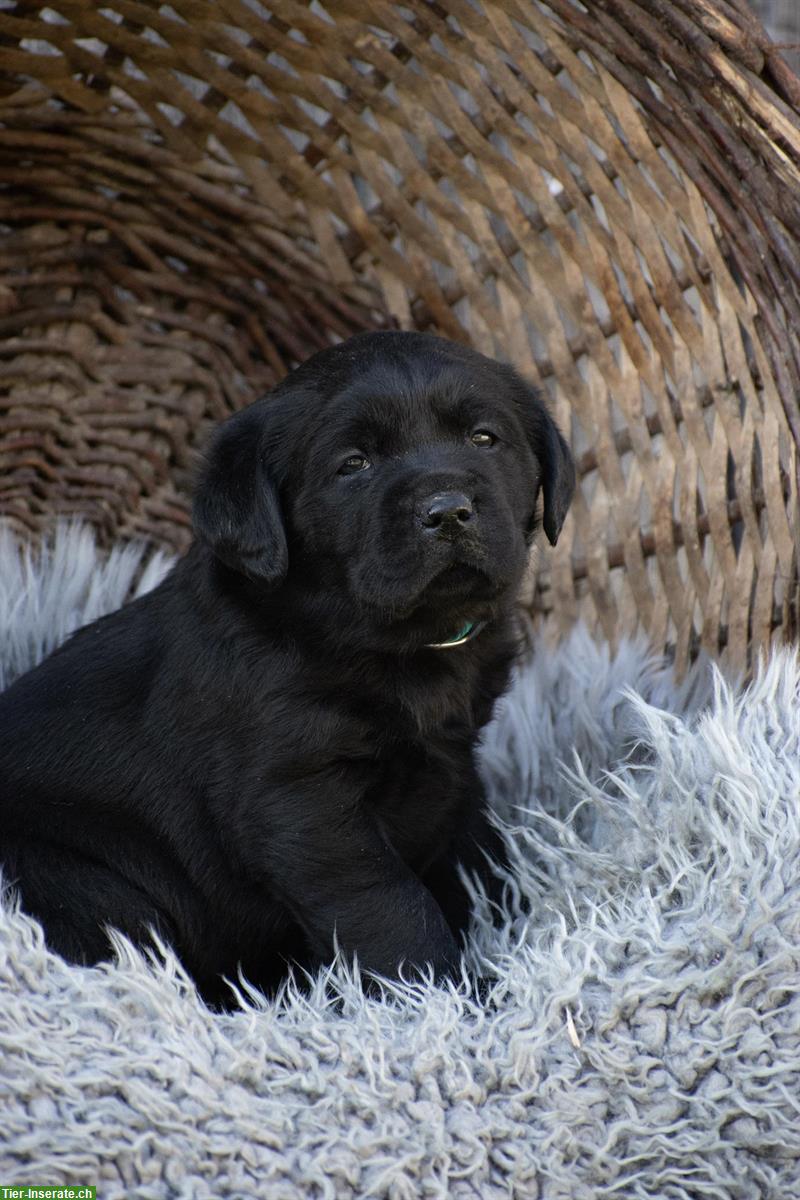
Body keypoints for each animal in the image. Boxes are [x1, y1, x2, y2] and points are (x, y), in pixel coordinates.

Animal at [0, 328, 575, 1003]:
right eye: (354, 464)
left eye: (484, 438)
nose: (448, 511)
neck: (388, 642)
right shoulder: (301, 798)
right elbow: (388, 902)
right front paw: (447, 996)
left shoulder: (454, 761)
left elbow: (477, 846)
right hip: (74, 876)